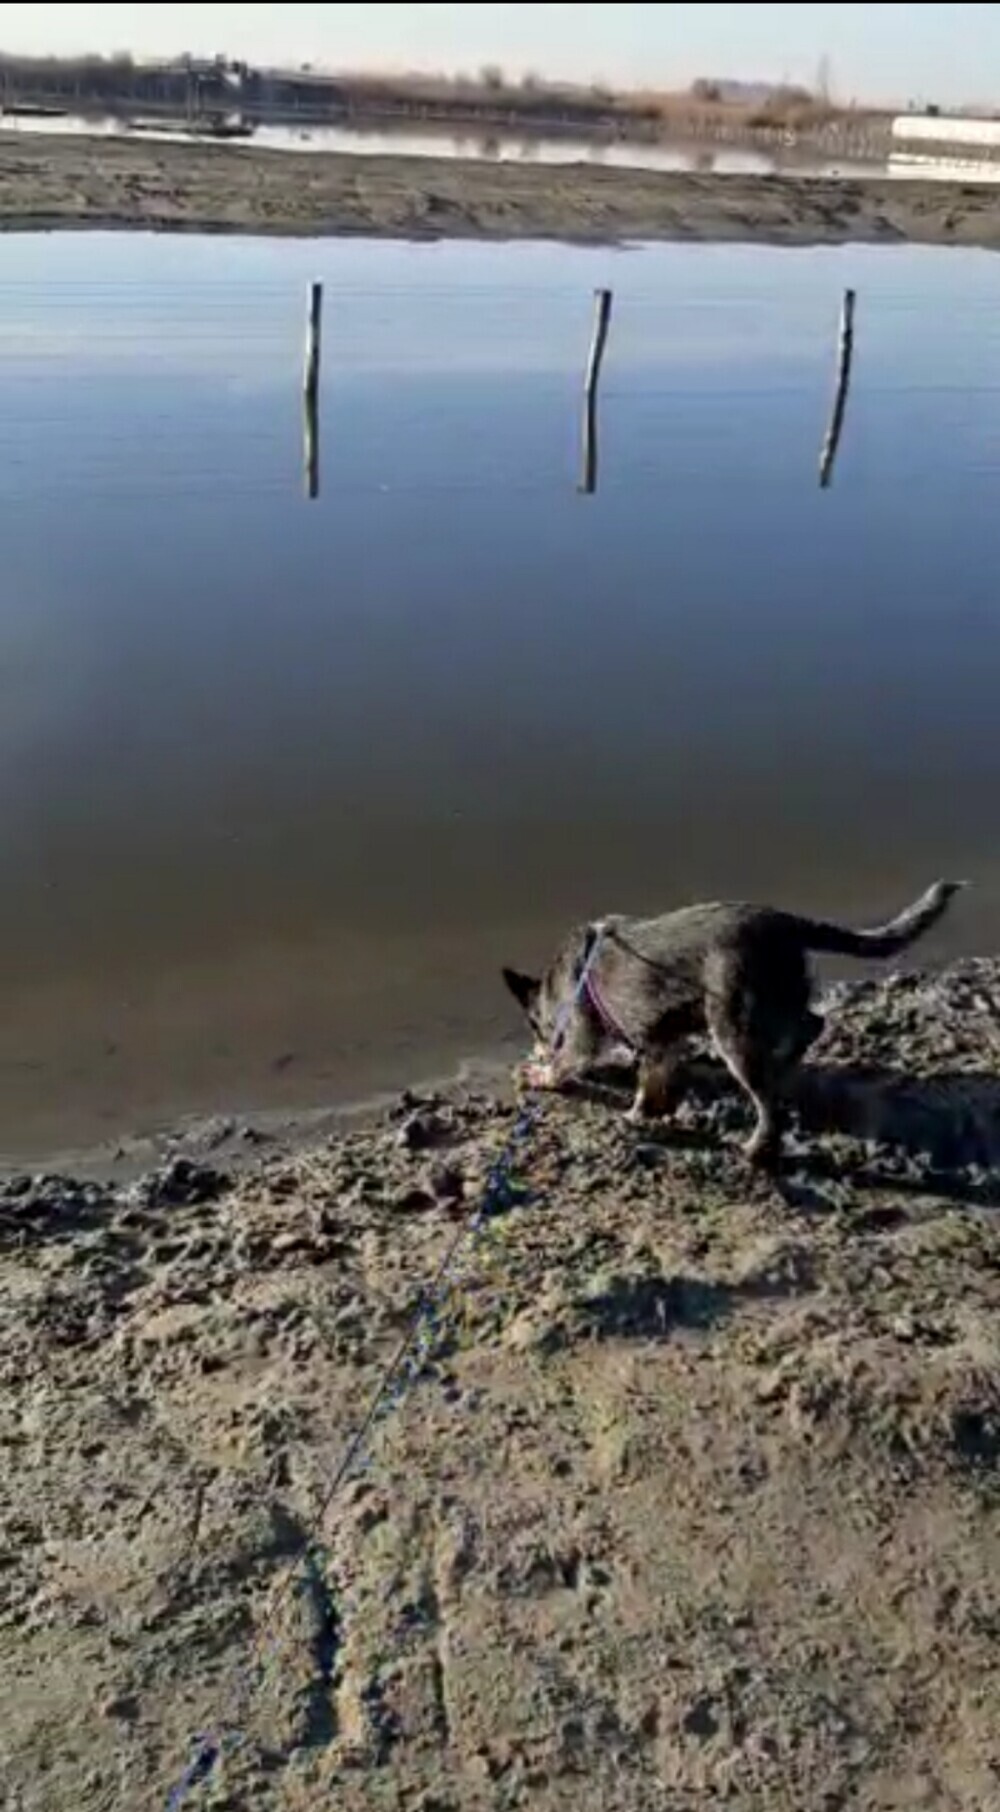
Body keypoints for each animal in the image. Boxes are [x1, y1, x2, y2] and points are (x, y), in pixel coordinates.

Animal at [502, 880, 965, 1169]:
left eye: (537, 1031)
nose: (536, 1047)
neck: (562, 984)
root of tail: (784, 921)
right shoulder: (661, 1039)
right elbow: (652, 1079)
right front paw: (643, 1110)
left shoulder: (585, 1037)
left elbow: (569, 1064)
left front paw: (539, 1072)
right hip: (778, 998)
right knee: (812, 1024)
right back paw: (788, 1059)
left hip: (732, 1025)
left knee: (770, 1104)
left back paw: (758, 1148)